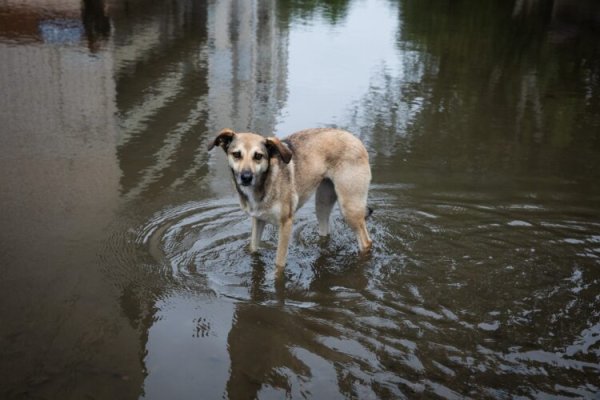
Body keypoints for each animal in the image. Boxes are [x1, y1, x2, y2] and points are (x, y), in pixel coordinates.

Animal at [209, 128, 372, 272]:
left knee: (366, 242)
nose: (246, 177)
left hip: (349, 209)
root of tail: (356, 139)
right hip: (322, 204)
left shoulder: (286, 224)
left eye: (258, 156)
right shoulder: (258, 219)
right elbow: (253, 249)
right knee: (325, 231)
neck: (265, 183)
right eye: (236, 154)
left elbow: (279, 264)